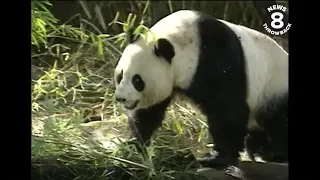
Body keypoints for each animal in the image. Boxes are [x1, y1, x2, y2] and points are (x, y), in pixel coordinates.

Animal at [113, 9, 288, 168]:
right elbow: (148, 113)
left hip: (275, 87)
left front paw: (215, 158)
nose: (121, 98)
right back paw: (257, 148)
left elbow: (227, 109)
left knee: (278, 122)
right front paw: (133, 145)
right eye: (120, 76)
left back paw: (272, 153)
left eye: (137, 80)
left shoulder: (218, 60)